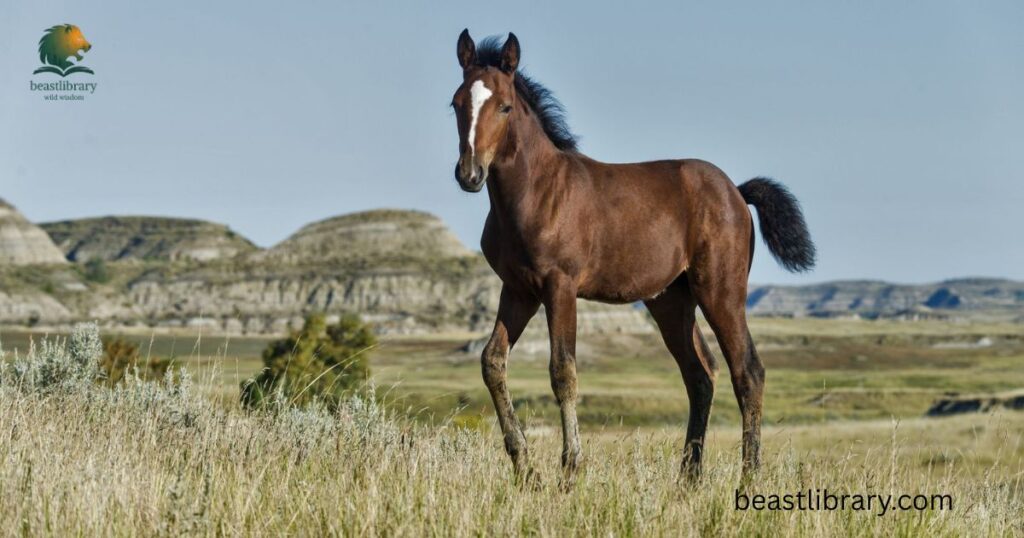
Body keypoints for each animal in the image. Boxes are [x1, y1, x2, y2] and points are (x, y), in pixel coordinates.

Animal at [450, 30, 815, 486]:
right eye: (456, 103)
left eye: (504, 106)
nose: (469, 174)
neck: (536, 193)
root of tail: (735, 190)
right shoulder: (518, 290)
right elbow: (492, 362)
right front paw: (525, 467)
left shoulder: (560, 286)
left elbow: (563, 371)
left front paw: (570, 470)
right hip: (671, 300)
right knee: (700, 375)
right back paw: (687, 479)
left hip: (720, 290)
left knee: (747, 371)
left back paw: (748, 478)